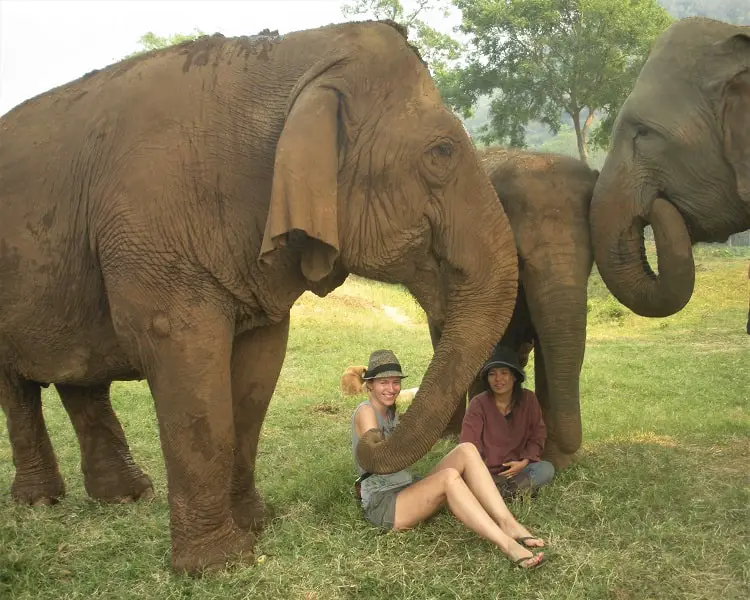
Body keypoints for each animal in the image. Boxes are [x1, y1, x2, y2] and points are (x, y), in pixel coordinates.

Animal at [0, 21, 524, 576]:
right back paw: (40, 501)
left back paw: (125, 496)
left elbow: (256, 374)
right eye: (441, 153)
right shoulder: (152, 244)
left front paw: (255, 523)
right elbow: (187, 370)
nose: (371, 435)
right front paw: (218, 564)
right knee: (18, 386)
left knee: (81, 377)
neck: (293, 56)